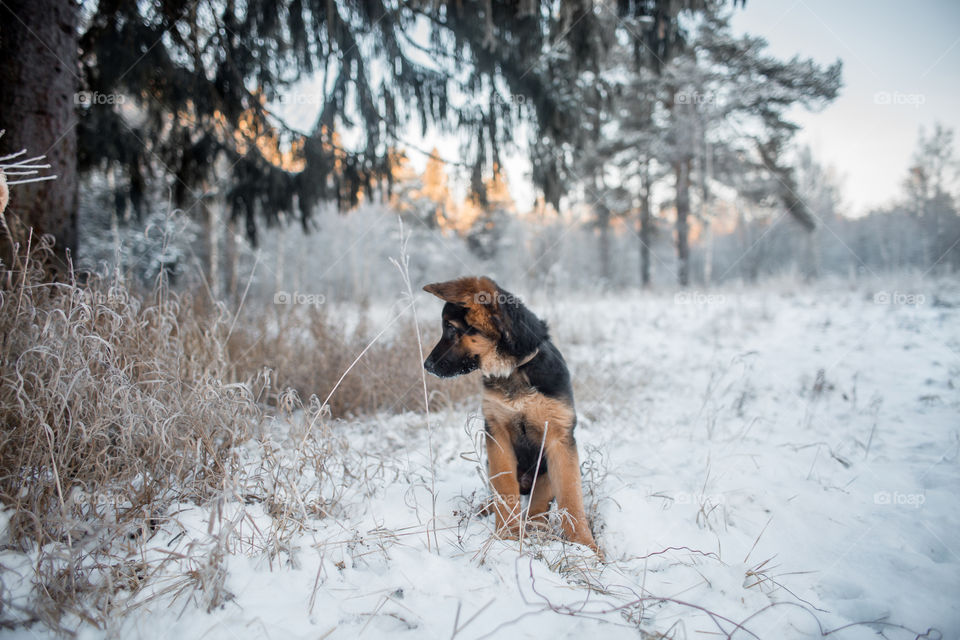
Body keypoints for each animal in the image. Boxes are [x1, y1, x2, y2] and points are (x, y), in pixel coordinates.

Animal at [424, 278, 596, 552]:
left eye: (450, 328)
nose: (426, 366)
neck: (514, 370)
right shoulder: (496, 432)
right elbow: (505, 486)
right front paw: (507, 536)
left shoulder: (559, 438)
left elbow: (571, 497)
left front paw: (586, 547)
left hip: (545, 468)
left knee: (539, 502)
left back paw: (537, 524)